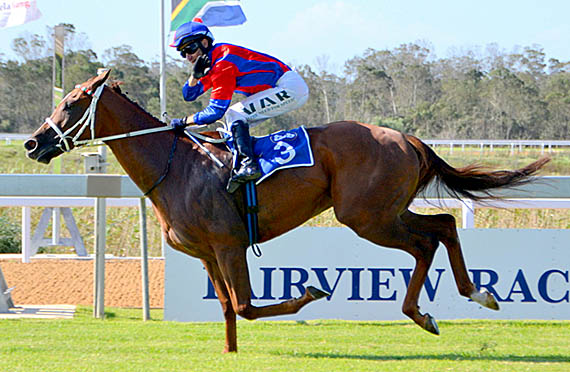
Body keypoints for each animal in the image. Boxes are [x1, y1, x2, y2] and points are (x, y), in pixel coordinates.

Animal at [25, 71, 544, 354]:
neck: (180, 167)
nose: (33, 143)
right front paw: (230, 351)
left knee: (426, 242)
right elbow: (230, 309)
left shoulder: (230, 244)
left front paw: (310, 292)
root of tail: (406, 138)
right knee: (445, 225)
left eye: (73, 103)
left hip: (367, 217)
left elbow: (246, 306)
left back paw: (426, 311)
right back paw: (476, 293)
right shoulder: (207, 253)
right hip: (384, 211)